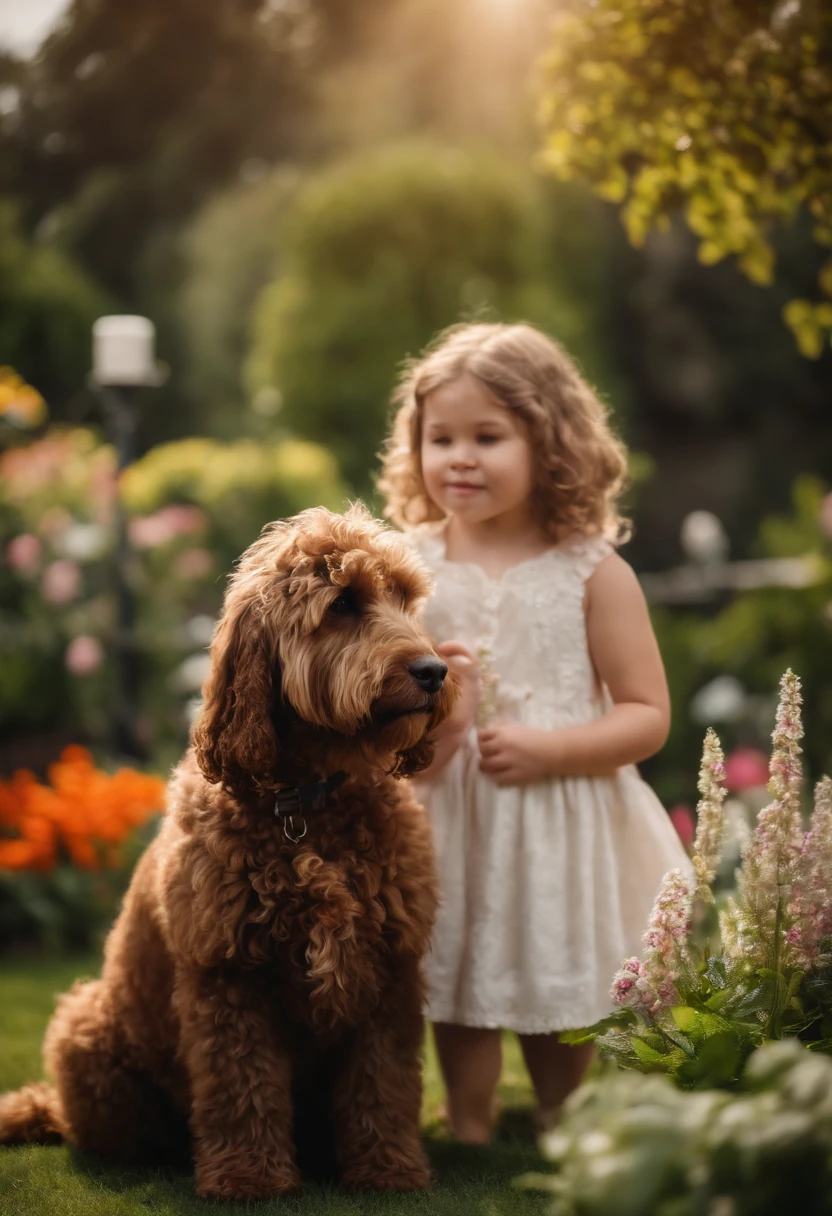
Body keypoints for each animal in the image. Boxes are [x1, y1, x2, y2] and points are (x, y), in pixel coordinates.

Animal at [0, 508, 454, 1201]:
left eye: (405, 598)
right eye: (343, 604)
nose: (434, 671)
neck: (308, 804)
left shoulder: (388, 974)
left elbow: (384, 1084)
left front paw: (389, 1171)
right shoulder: (228, 978)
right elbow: (242, 1086)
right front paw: (248, 1177)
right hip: (85, 1028)